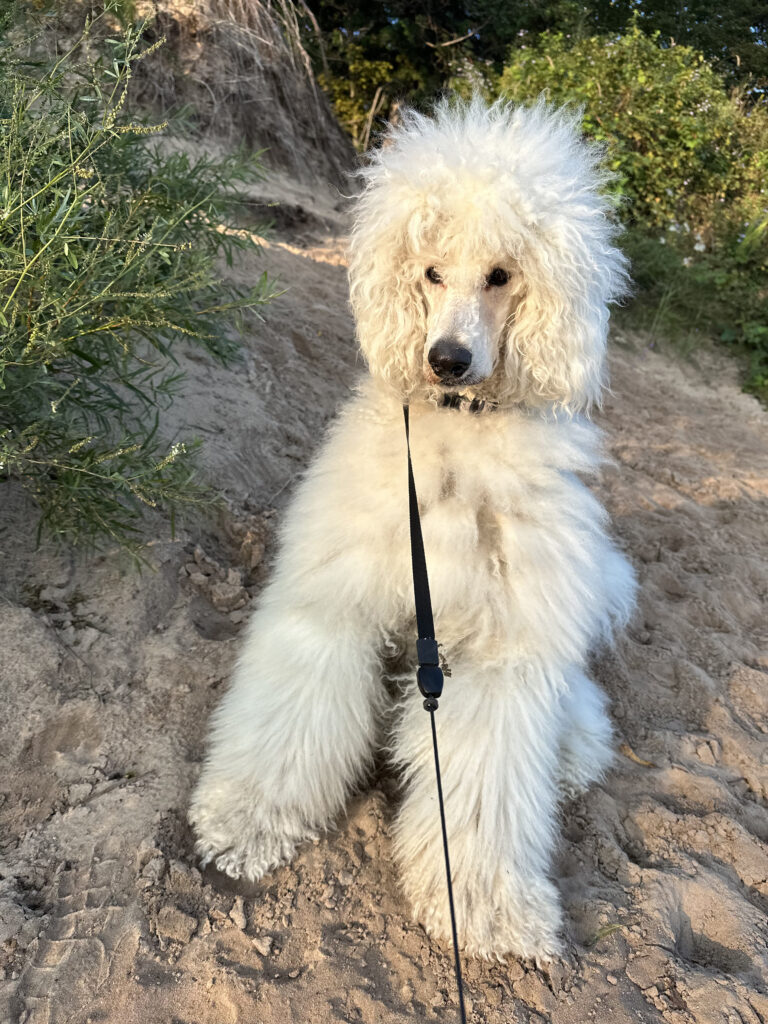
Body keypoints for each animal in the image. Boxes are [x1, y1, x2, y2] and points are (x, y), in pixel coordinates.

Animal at [189, 97, 636, 960]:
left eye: (502, 274)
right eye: (430, 270)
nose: (447, 360)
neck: (456, 434)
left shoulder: (498, 655)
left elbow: (486, 788)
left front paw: (488, 906)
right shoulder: (336, 604)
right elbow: (289, 725)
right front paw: (247, 821)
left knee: (578, 709)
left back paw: (572, 756)